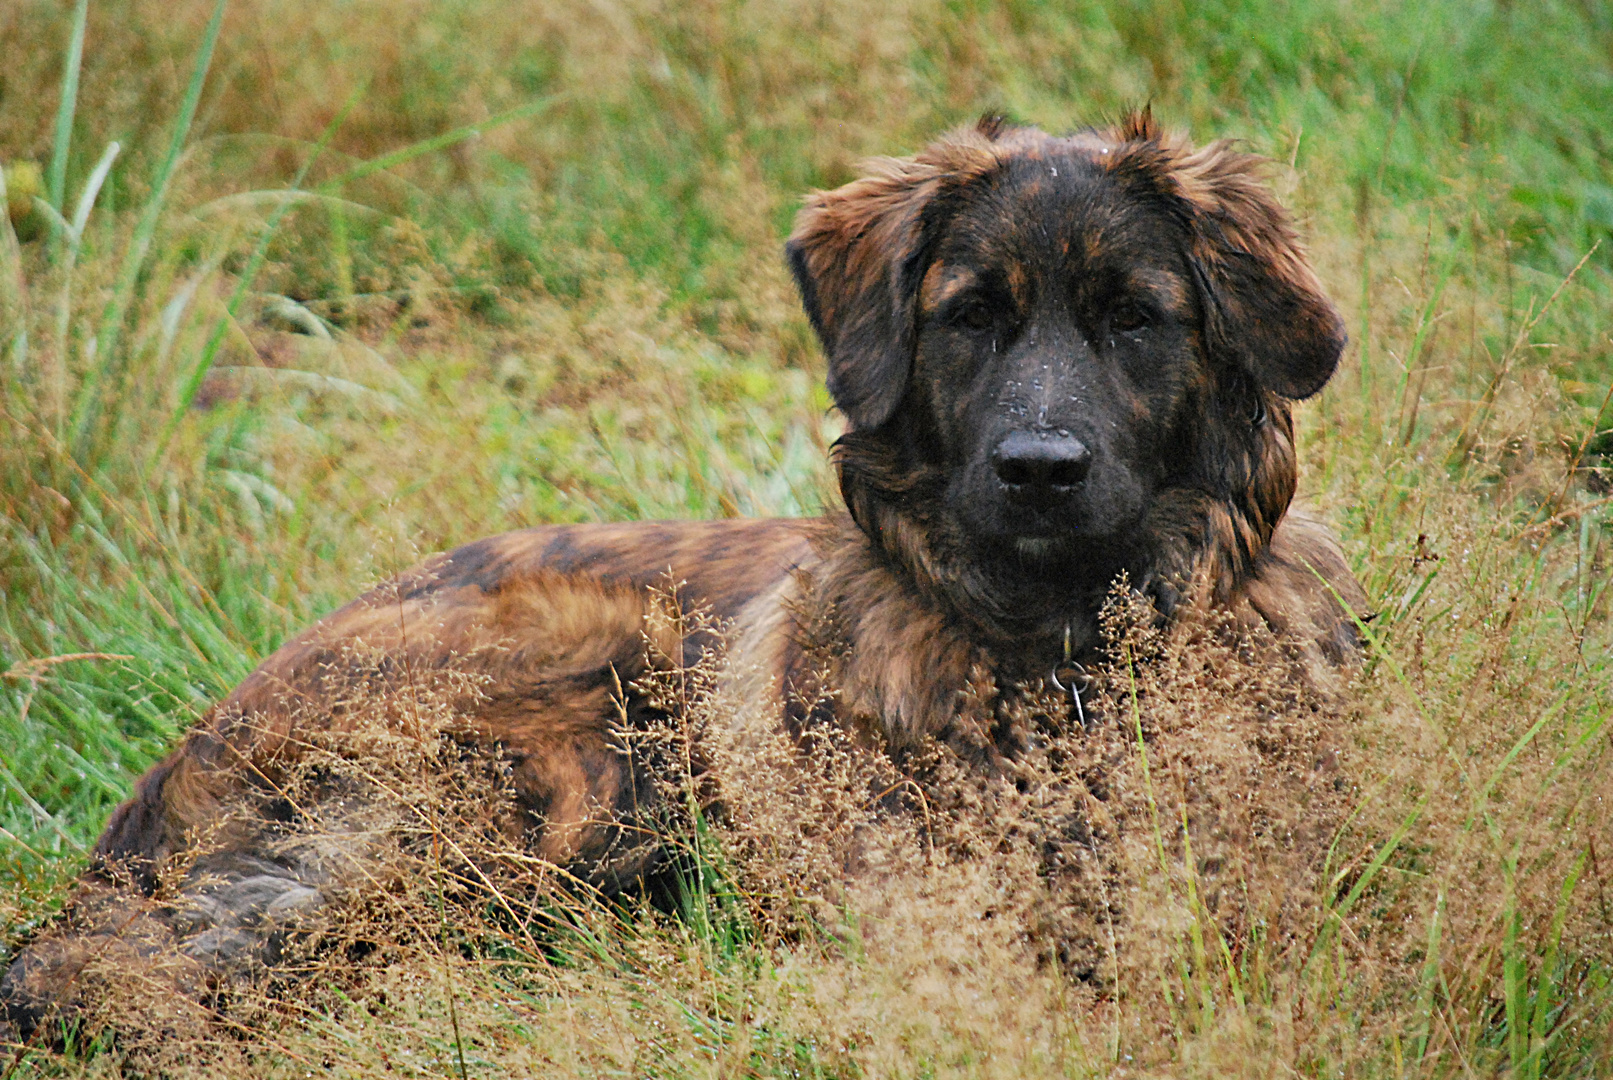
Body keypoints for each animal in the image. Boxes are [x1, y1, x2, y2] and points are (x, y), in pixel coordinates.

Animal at [0, 109, 1367, 1031]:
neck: (1055, 655)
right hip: (562, 726)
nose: (1038, 470)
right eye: (968, 315)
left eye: (1133, 316)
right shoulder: (919, 926)